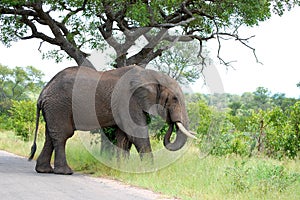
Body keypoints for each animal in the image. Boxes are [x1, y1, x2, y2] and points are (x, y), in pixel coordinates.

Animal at [28, 65, 195, 174]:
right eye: (174, 99)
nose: (171, 122)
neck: (150, 74)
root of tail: (43, 92)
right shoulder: (128, 100)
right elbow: (136, 132)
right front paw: (150, 170)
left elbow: (123, 136)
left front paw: (122, 168)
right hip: (59, 106)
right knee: (63, 135)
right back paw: (65, 172)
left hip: (53, 108)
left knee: (51, 135)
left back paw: (43, 170)